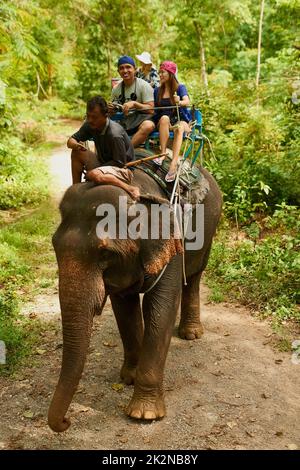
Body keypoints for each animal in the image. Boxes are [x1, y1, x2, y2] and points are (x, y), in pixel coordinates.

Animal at [48, 167, 221, 432]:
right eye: (54, 246)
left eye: (105, 253)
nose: (66, 421)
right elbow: (124, 307)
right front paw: (129, 377)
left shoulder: (173, 244)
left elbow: (160, 306)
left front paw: (144, 414)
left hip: (209, 234)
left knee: (194, 277)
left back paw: (190, 334)